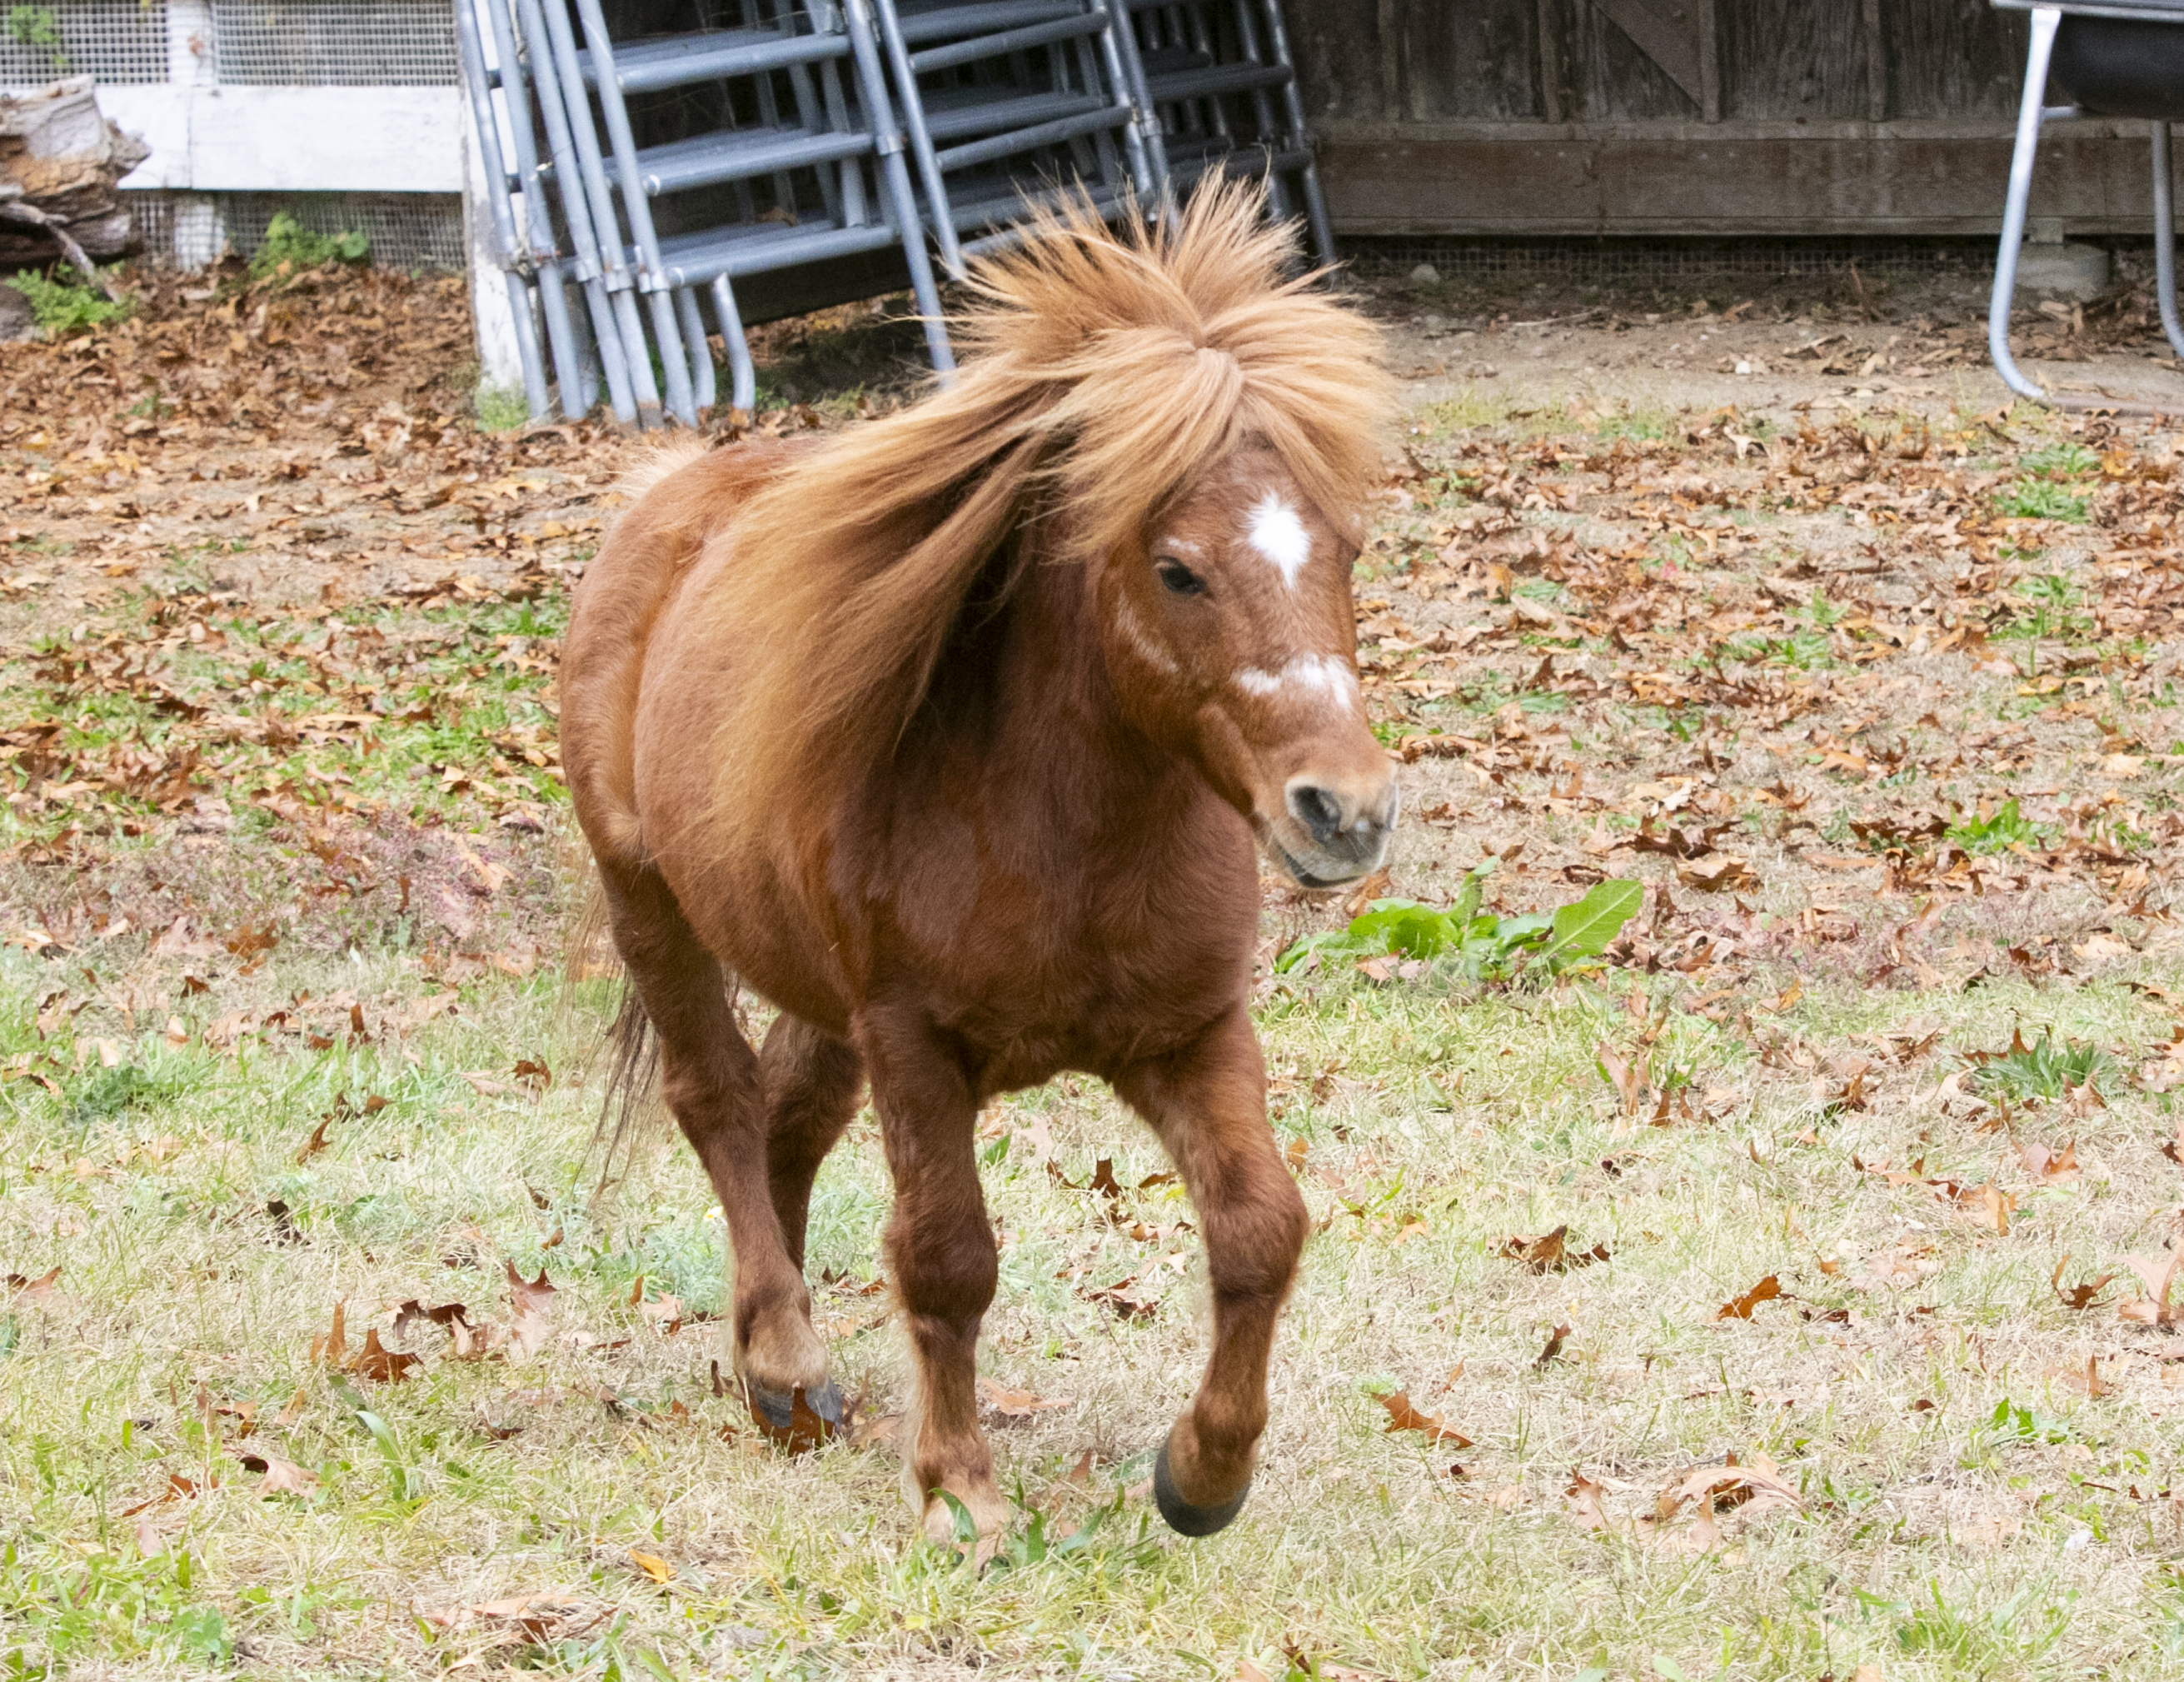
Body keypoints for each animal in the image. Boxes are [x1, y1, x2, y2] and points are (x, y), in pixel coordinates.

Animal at [561, 180, 1398, 1548]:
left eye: (1345, 551)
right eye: (1178, 568)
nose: (1347, 811)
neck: (1068, 847)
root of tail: (669, 492)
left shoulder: (1191, 1029)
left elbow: (1260, 1228)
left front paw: (1202, 1474)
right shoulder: (914, 1040)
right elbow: (948, 1257)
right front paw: (958, 1487)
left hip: (813, 985)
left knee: (789, 1123)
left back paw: (775, 1370)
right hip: (653, 906)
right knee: (720, 1102)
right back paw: (786, 1357)